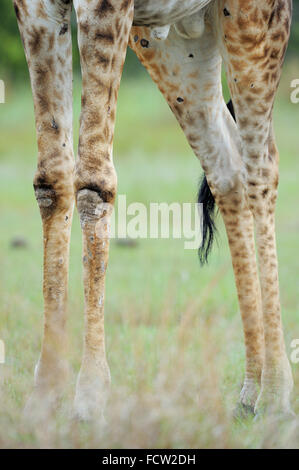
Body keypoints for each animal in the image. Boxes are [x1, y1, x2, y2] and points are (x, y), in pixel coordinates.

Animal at [12, 0, 294, 418]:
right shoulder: (34, 11)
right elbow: (50, 180)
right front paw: (44, 395)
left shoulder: (105, 8)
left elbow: (93, 179)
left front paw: (90, 396)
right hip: (174, 44)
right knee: (228, 167)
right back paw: (249, 393)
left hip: (254, 23)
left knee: (262, 167)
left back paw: (275, 395)